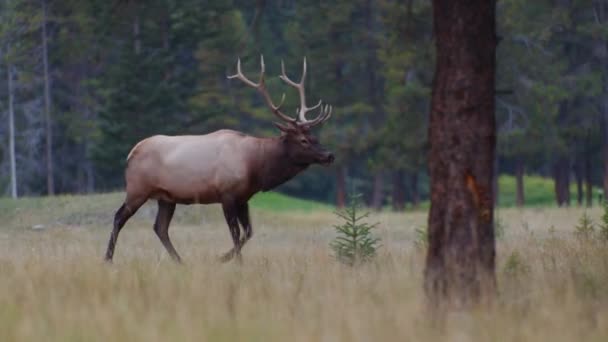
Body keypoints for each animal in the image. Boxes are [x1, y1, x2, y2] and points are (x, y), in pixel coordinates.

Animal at [103, 56, 332, 264]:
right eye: (303, 140)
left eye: (315, 137)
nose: (329, 155)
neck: (256, 167)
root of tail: (131, 153)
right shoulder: (227, 194)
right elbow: (236, 233)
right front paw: (233, 261)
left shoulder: (243, 198)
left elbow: (248, 232)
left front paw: (223, 258)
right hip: (137, 189)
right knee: (119, 217)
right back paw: (108, 259)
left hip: (166, 197)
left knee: (160, 227)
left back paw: (180, 261)